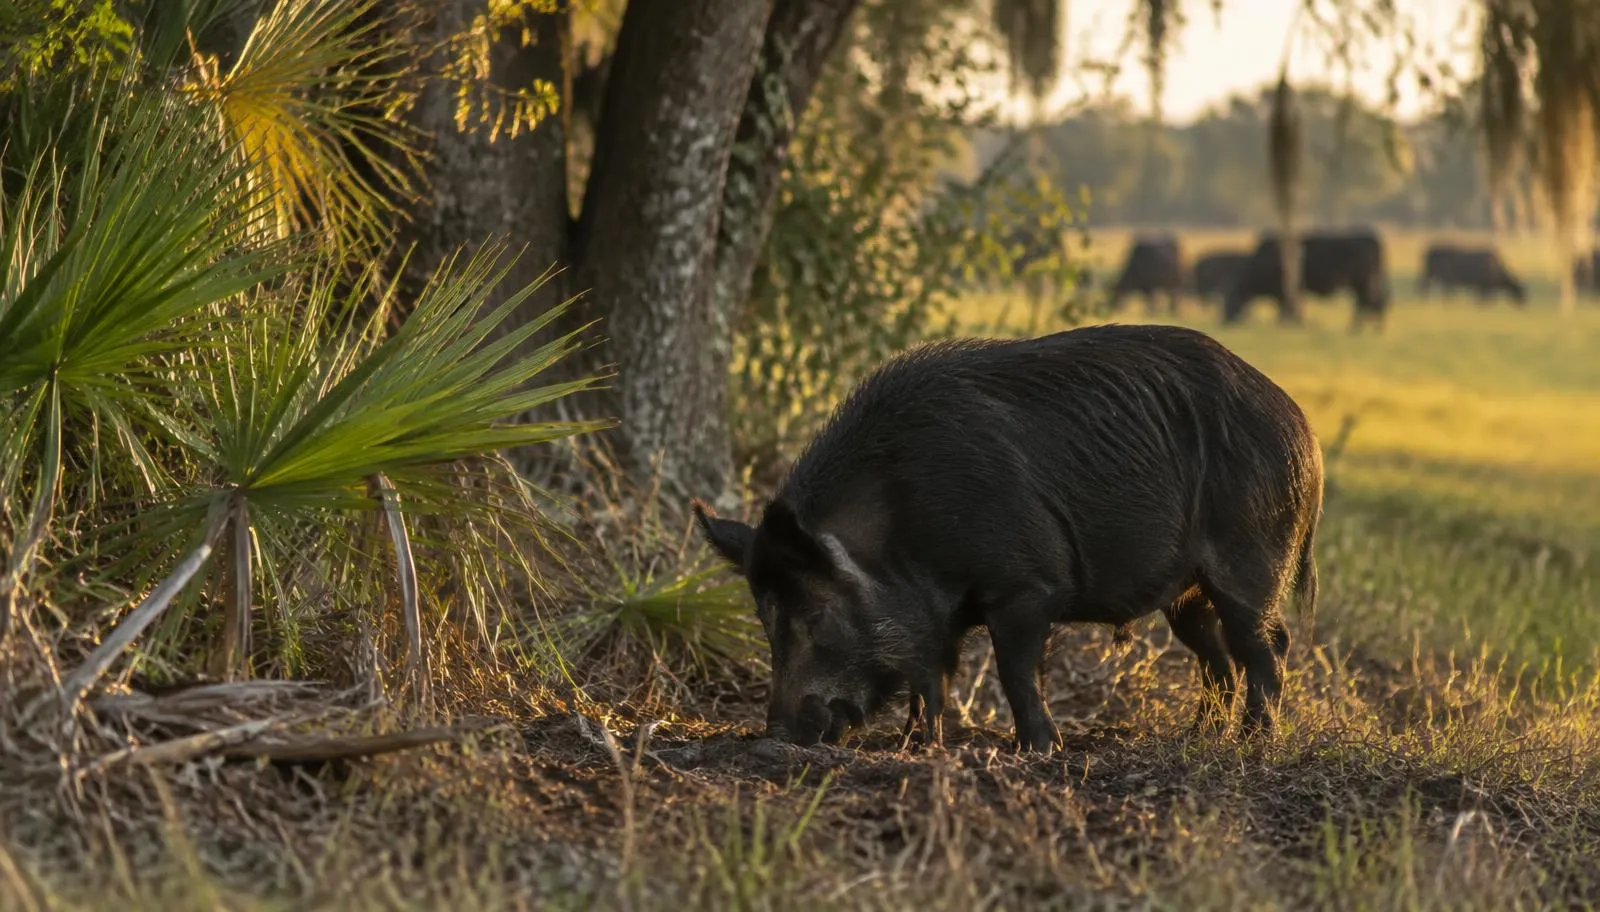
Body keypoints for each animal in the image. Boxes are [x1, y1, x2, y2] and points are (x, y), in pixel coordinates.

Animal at [1223, 228, 1390, 333]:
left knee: (1367, 302)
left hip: (1362, 282)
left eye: (1229, 301)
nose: (1224, 321)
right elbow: (1295, 306)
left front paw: (1286, 324)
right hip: (1367, 282)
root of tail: (1372, 239)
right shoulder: (1295, 290)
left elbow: (1285, 308)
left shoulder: (1283, 290)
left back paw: (1357, 329)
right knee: (1372, 302)